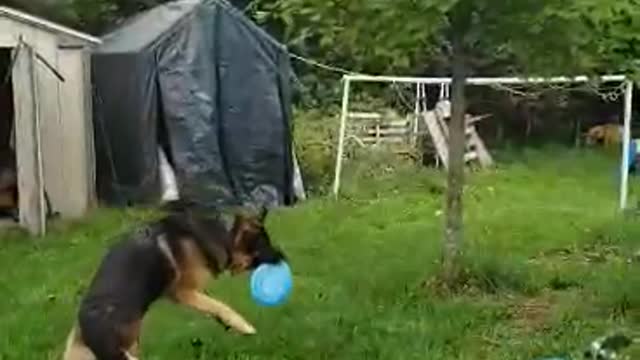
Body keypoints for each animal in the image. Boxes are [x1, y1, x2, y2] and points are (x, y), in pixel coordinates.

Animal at [62, 201, 284, 358]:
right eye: (264, 246)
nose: (284, 258)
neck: (223, 233)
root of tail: (86, 326)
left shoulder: (192, 293)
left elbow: (213, 306)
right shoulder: (184, 292)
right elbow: (221, 306)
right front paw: (242, 325)